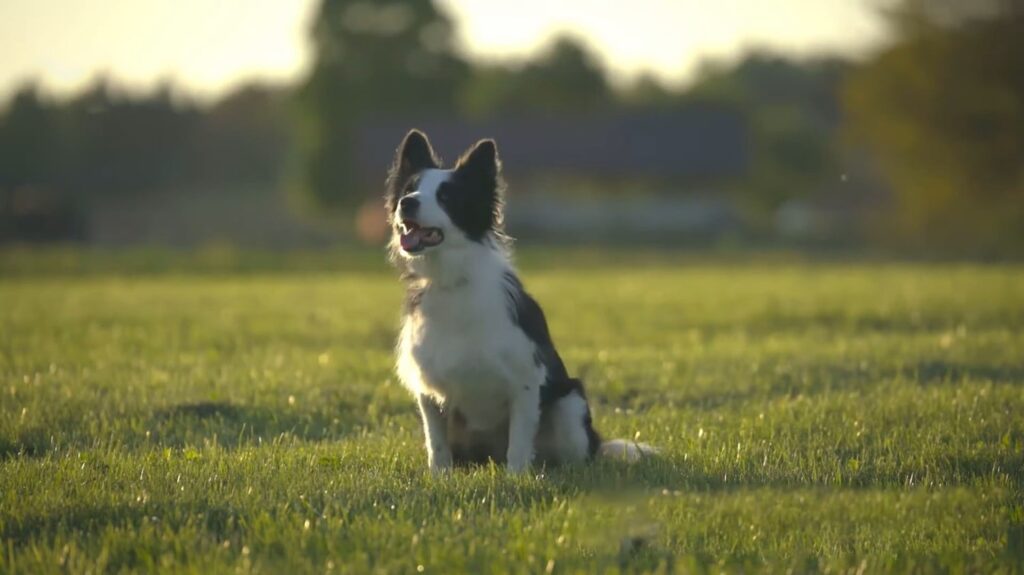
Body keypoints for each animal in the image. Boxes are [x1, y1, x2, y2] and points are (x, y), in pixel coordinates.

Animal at [387, 129, 651, 470]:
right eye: (409, 190)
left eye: (446, 197)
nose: (406, 203)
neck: (453, 280)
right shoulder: (429, 391)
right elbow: (437, 446)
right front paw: (440, 477)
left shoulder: (525, 383)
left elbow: (519, 445)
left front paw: (516, 476)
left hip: (570, 405)